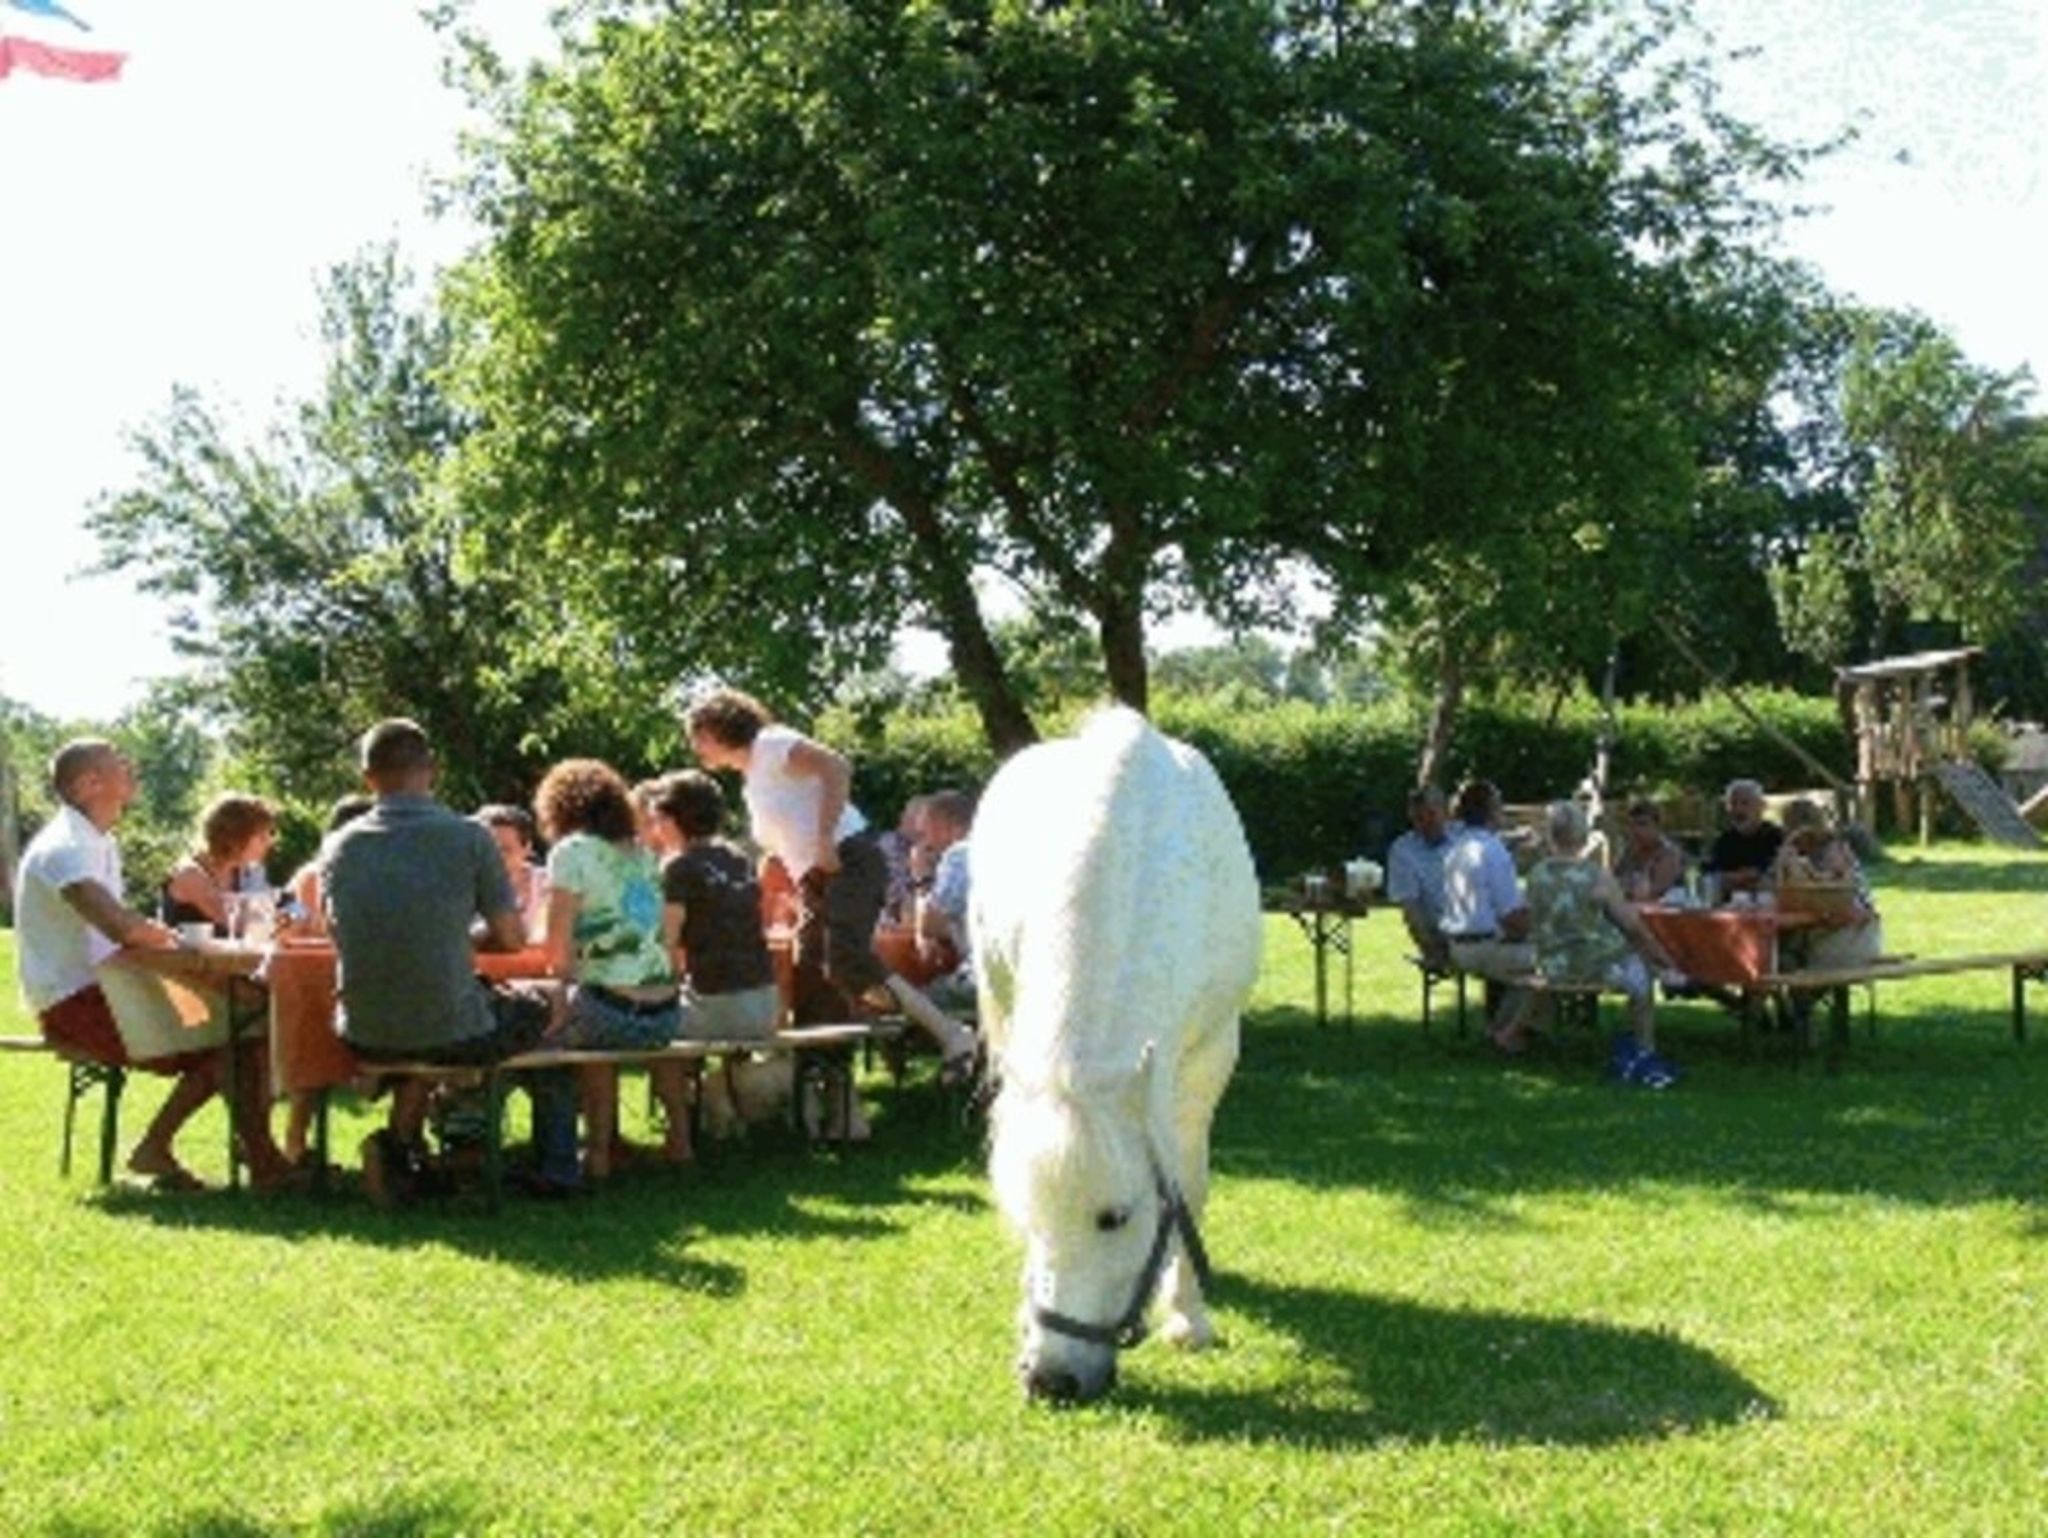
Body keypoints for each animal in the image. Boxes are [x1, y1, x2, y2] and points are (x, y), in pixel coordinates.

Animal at [966, 708, 1253, 1408]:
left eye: (1113, 1218)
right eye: (1025, 1214)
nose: (1051, 1380)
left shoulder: (1206, 1062)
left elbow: (1187, 1183)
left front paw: (1187, 1316)